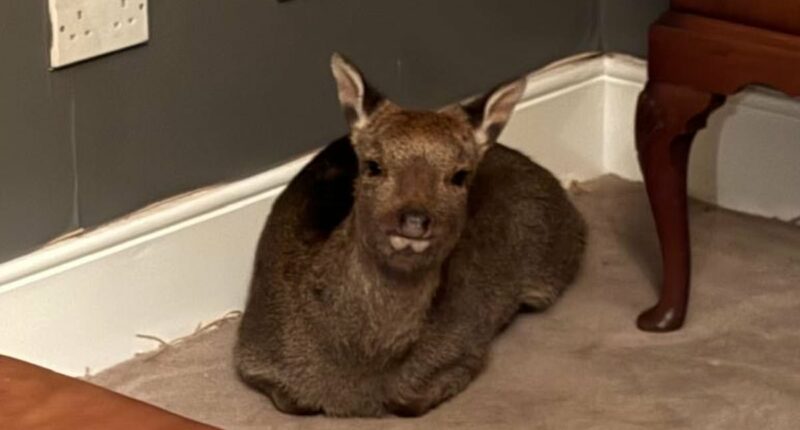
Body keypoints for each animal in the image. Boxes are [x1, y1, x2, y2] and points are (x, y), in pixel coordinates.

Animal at [234, 53, 586, 417]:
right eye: (373, 165)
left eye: (460, 175)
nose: (415, 220)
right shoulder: (253, 354)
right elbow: (292, 401)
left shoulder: (466, 347)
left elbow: (412, 400)